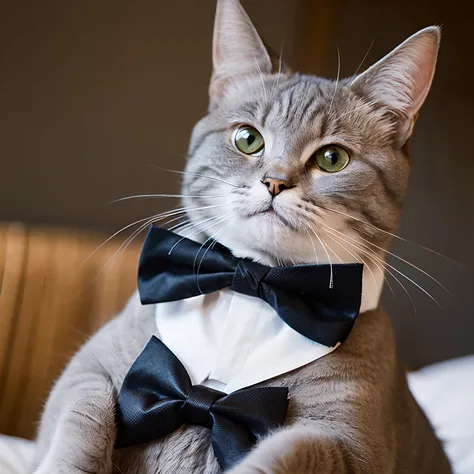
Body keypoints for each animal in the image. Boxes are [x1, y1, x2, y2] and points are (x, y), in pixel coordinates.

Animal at [32, 0, 452, 472]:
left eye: (332, 158)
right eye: (248, 139)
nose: (275, 182)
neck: (252, 285)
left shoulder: (351, 447)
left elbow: (292, 449)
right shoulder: (90, 368)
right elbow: (84, 417)